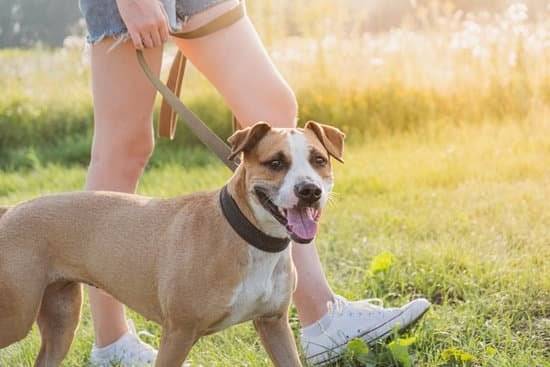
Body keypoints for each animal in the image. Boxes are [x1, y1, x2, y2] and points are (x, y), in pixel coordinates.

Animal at [0, 121, 344, 367]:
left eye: (319, 160)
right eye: (275, 163)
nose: (309, 190)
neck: (248, 236)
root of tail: (11, 210)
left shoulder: (274, 325)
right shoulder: (178, 334)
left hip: (61, 322)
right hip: (16, 318)